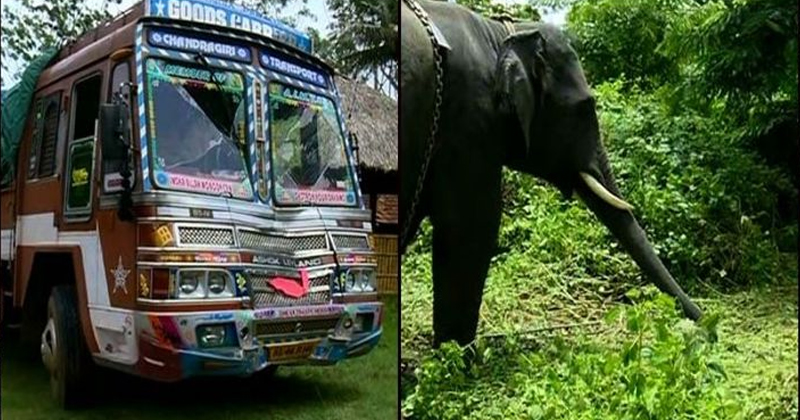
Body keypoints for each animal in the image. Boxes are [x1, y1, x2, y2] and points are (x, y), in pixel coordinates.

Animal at [400, 0, 700, 348]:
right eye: (585, 107)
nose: (706, 322)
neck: (499, 32)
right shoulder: (470, 122)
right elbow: (471, 226)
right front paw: (458, 354)